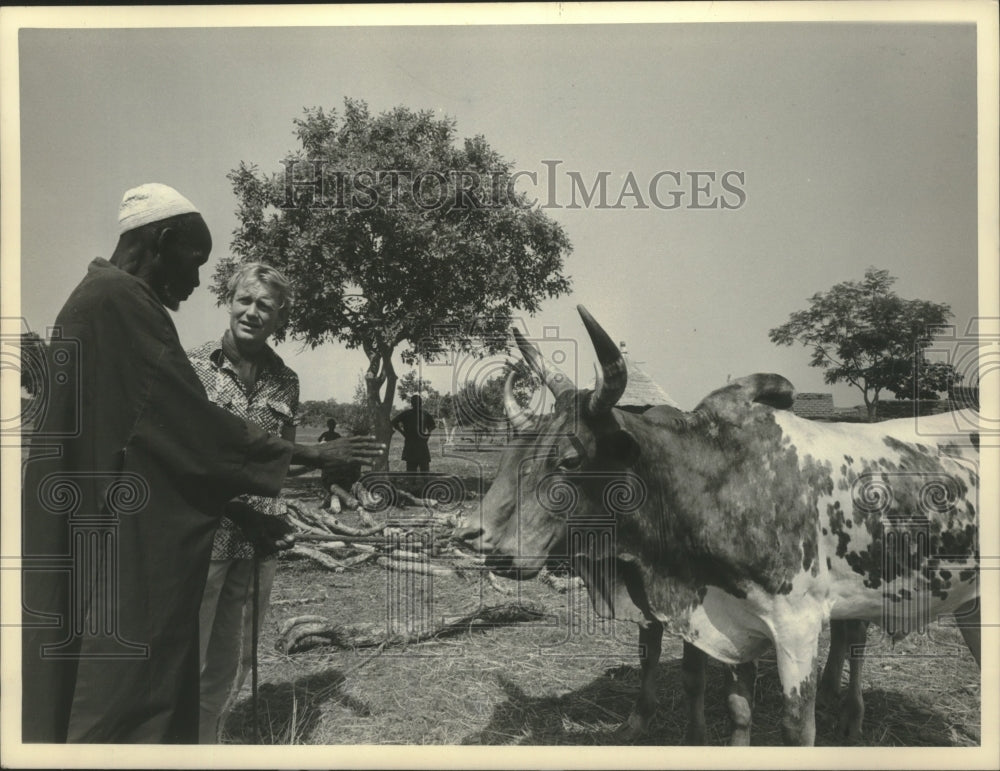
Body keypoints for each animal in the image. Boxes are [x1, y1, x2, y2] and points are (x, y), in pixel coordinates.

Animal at [462, 304, 984, 744]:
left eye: (569, 459)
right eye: (511, 455)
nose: (479, 539)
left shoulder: (796, 627)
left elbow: (796, 728)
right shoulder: (730, 623)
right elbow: (736, 709)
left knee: (855, 643)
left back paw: (851, 719)